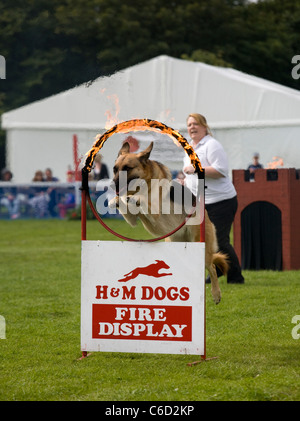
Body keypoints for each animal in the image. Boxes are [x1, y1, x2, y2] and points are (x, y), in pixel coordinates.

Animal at [109, 143, 229, 304]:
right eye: (115, 169)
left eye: (127, 168)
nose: (112, 185)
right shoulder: (133, 219)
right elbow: (124, 202)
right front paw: (115, 200)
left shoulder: (154, 212)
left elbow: (142, 199)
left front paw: (134, 197)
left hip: (201, 246)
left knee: (212, 268)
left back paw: (216, 294)